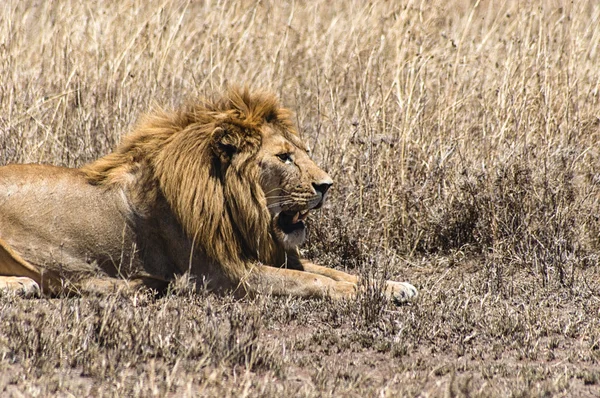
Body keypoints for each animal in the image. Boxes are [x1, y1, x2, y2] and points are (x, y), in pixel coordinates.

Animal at [0, 88, 418, 302]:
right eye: (284, 157)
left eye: (303, 152)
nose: (327, 185)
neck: (238, 206)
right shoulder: (226, 274)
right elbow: (313, 282)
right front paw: (357, 293)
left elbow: (335, 271)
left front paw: (393, 287)